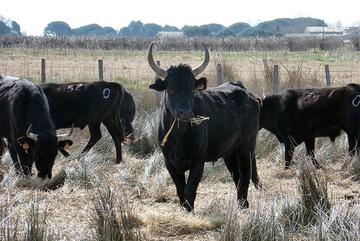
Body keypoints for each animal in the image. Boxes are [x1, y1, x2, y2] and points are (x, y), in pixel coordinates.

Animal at [148, 42, 260, 212]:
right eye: (171, 89)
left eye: (192, 89)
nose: (185, 112)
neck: (178, 136)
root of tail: (246, 92)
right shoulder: (169, 162)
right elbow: (180, 188)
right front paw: (184, 208)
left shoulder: (198, 161)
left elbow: (189, 188)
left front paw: (190, 210)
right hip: (230, 151)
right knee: (236, 175)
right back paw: (239, 203)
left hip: (247, 146)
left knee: (245, 173)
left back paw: (244, 205)